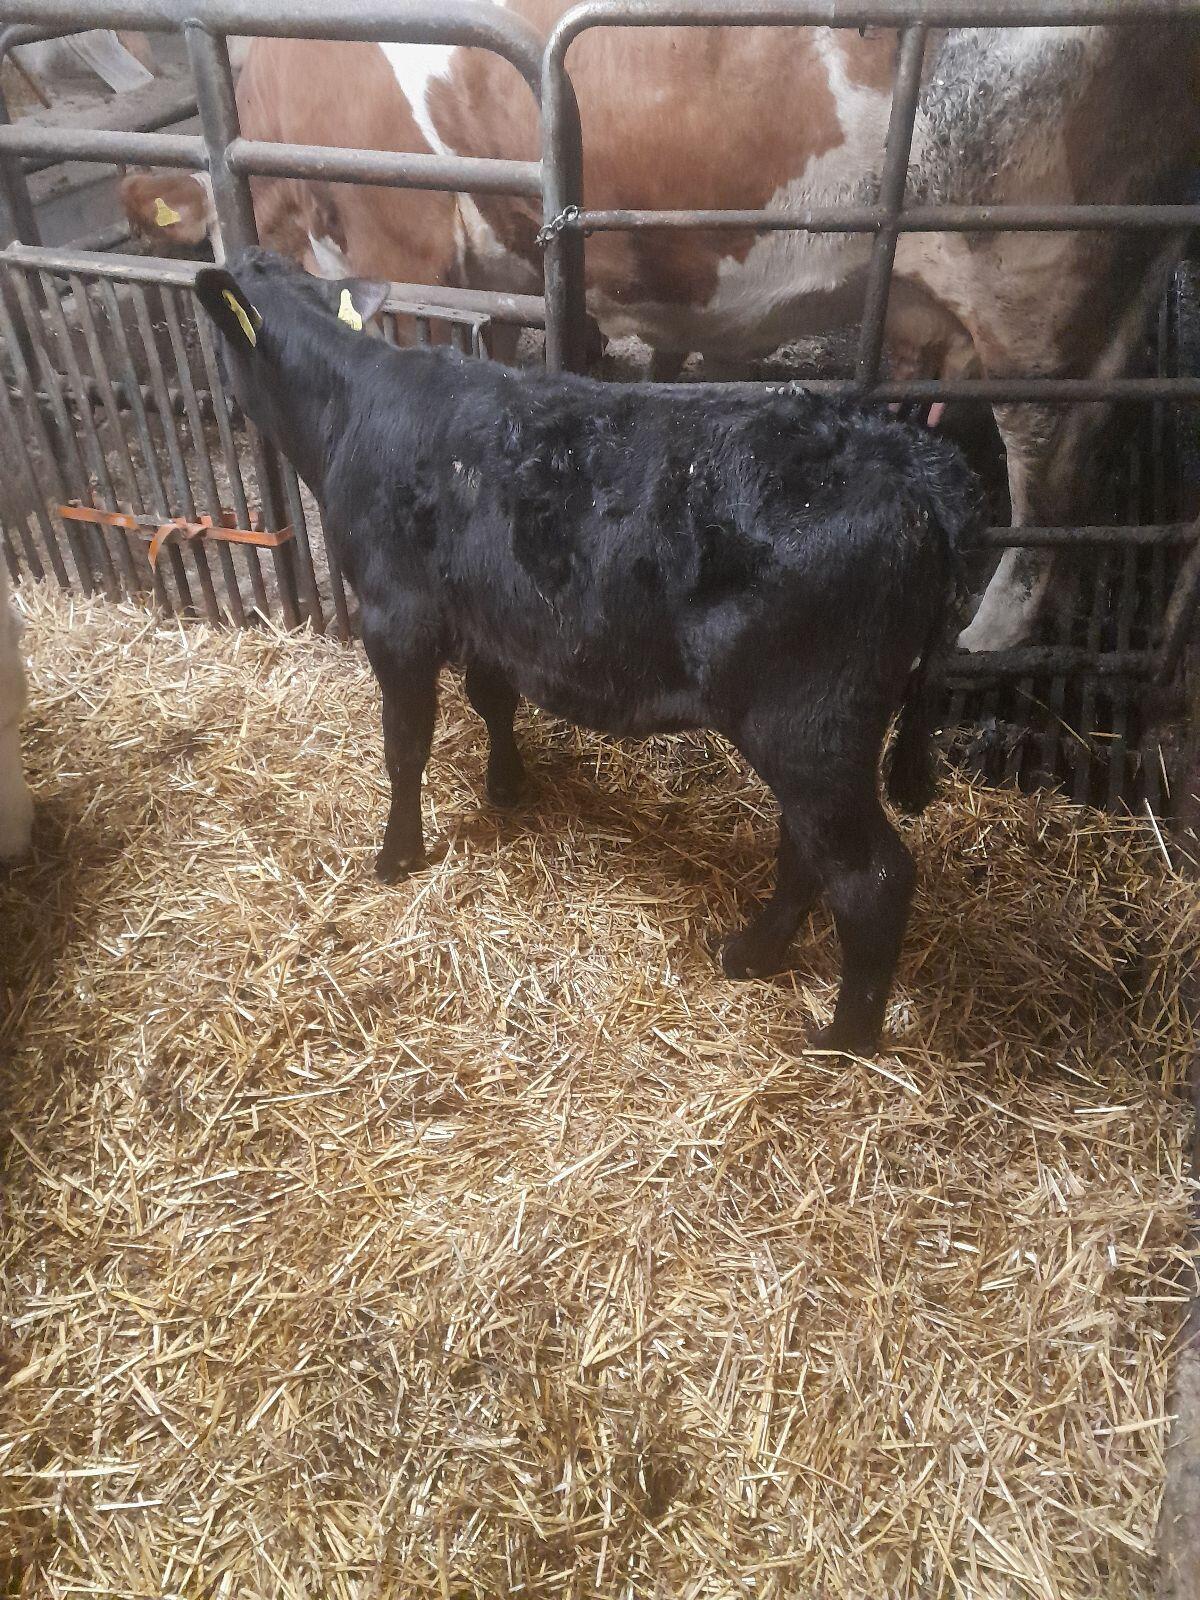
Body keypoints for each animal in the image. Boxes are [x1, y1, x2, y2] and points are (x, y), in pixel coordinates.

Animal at [194, 250, 981, 1055]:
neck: (352, 409)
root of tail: (911, 468)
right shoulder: (494, 615)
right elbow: (492, 699)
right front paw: (507, 785)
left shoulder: (396, 618)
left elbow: (405, 746)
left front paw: (397, 854)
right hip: (816, 737)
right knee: (806, 849)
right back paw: (753, 954)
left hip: (808, 724)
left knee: (869, 877)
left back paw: (841, 1038)